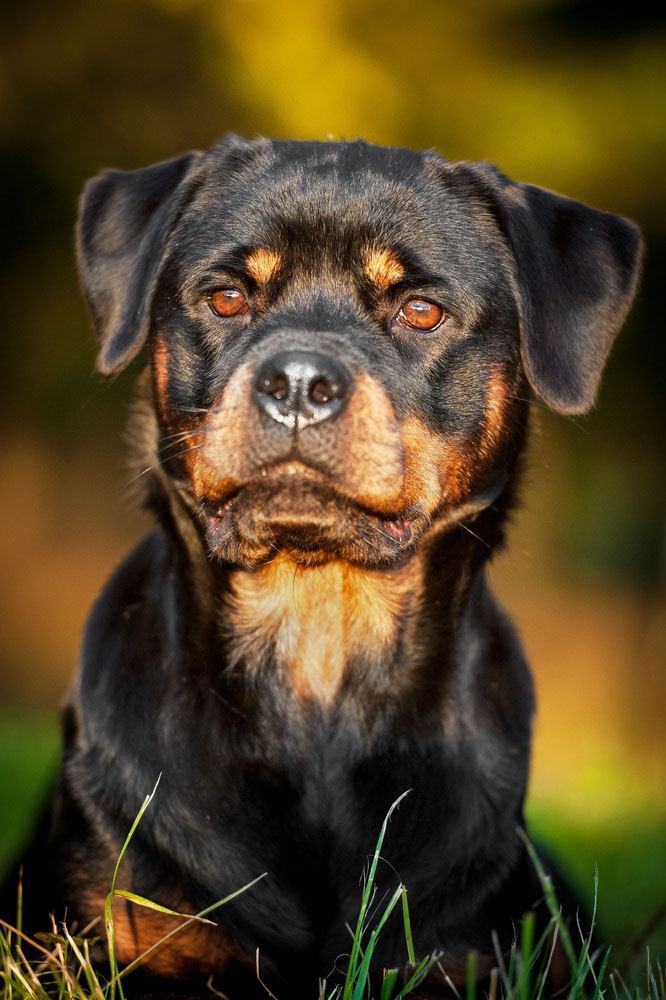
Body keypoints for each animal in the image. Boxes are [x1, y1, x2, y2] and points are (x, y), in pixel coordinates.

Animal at [3, 135, 640, 1000]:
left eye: (421, 311)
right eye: (227, 298)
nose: (298, 381)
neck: (316, 659)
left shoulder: (465, 956)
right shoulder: (116, 947)